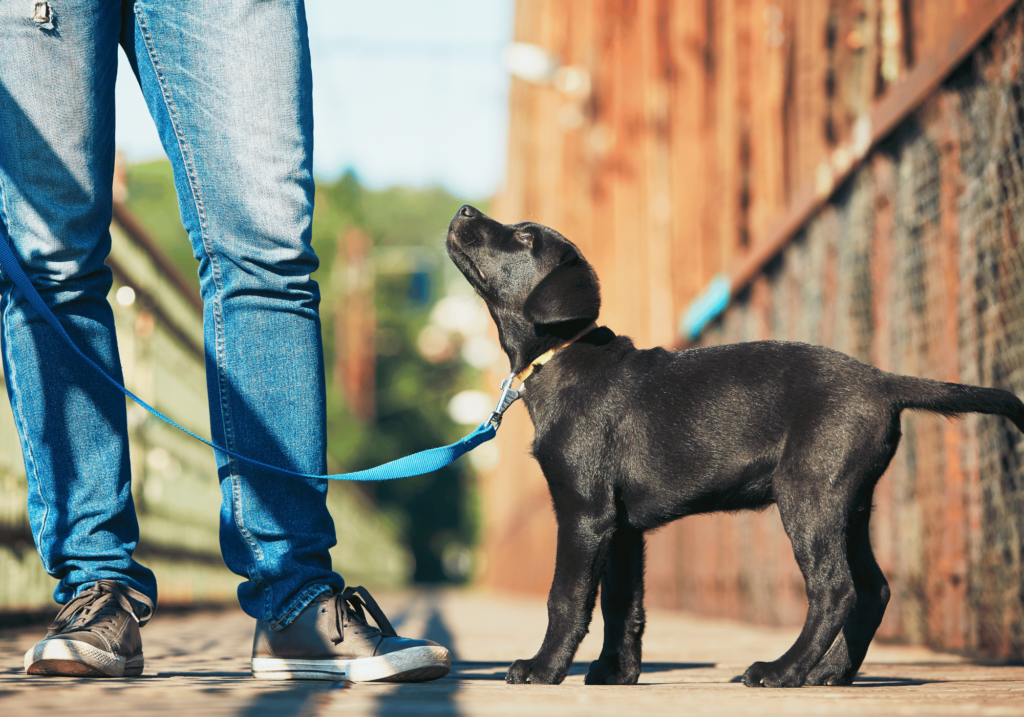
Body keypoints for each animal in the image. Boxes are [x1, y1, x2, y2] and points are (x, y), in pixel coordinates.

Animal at [446, 204, 1024, 684]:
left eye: (523, 237)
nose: (465, 209)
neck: (561, 356)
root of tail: (882, 380)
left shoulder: (585, 512)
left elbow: (566, 598)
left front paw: (543, 668)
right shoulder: (623, 527)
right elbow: (622, 605)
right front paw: (615, 673)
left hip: (809, 495)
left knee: (835, 589)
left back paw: (782, 671)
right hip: (849, 502)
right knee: (872, 590)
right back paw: (828, 673)